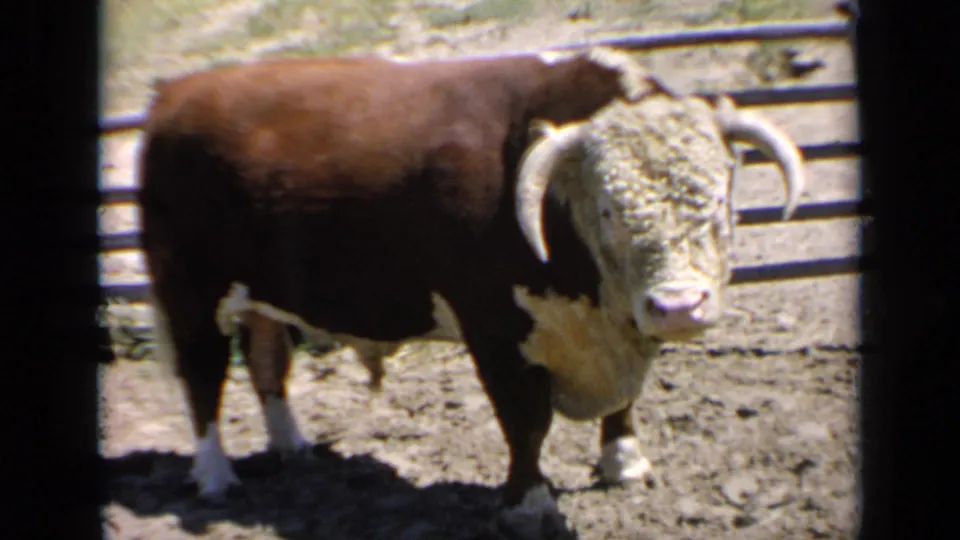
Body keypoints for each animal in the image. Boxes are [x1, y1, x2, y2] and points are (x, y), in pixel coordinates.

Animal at [138, 47, 804, 538]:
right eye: (610, 211)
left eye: (720, 200)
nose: (678, 306)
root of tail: (178, 92)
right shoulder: (494, 329)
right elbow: (526, 422)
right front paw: (529, 504)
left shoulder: (619, 328)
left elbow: (624, 404)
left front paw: (625, 463)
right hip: (189, 291)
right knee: (203, 381)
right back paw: (215, 475)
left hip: (261, 296)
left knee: (267, 363)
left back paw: (291, 445)